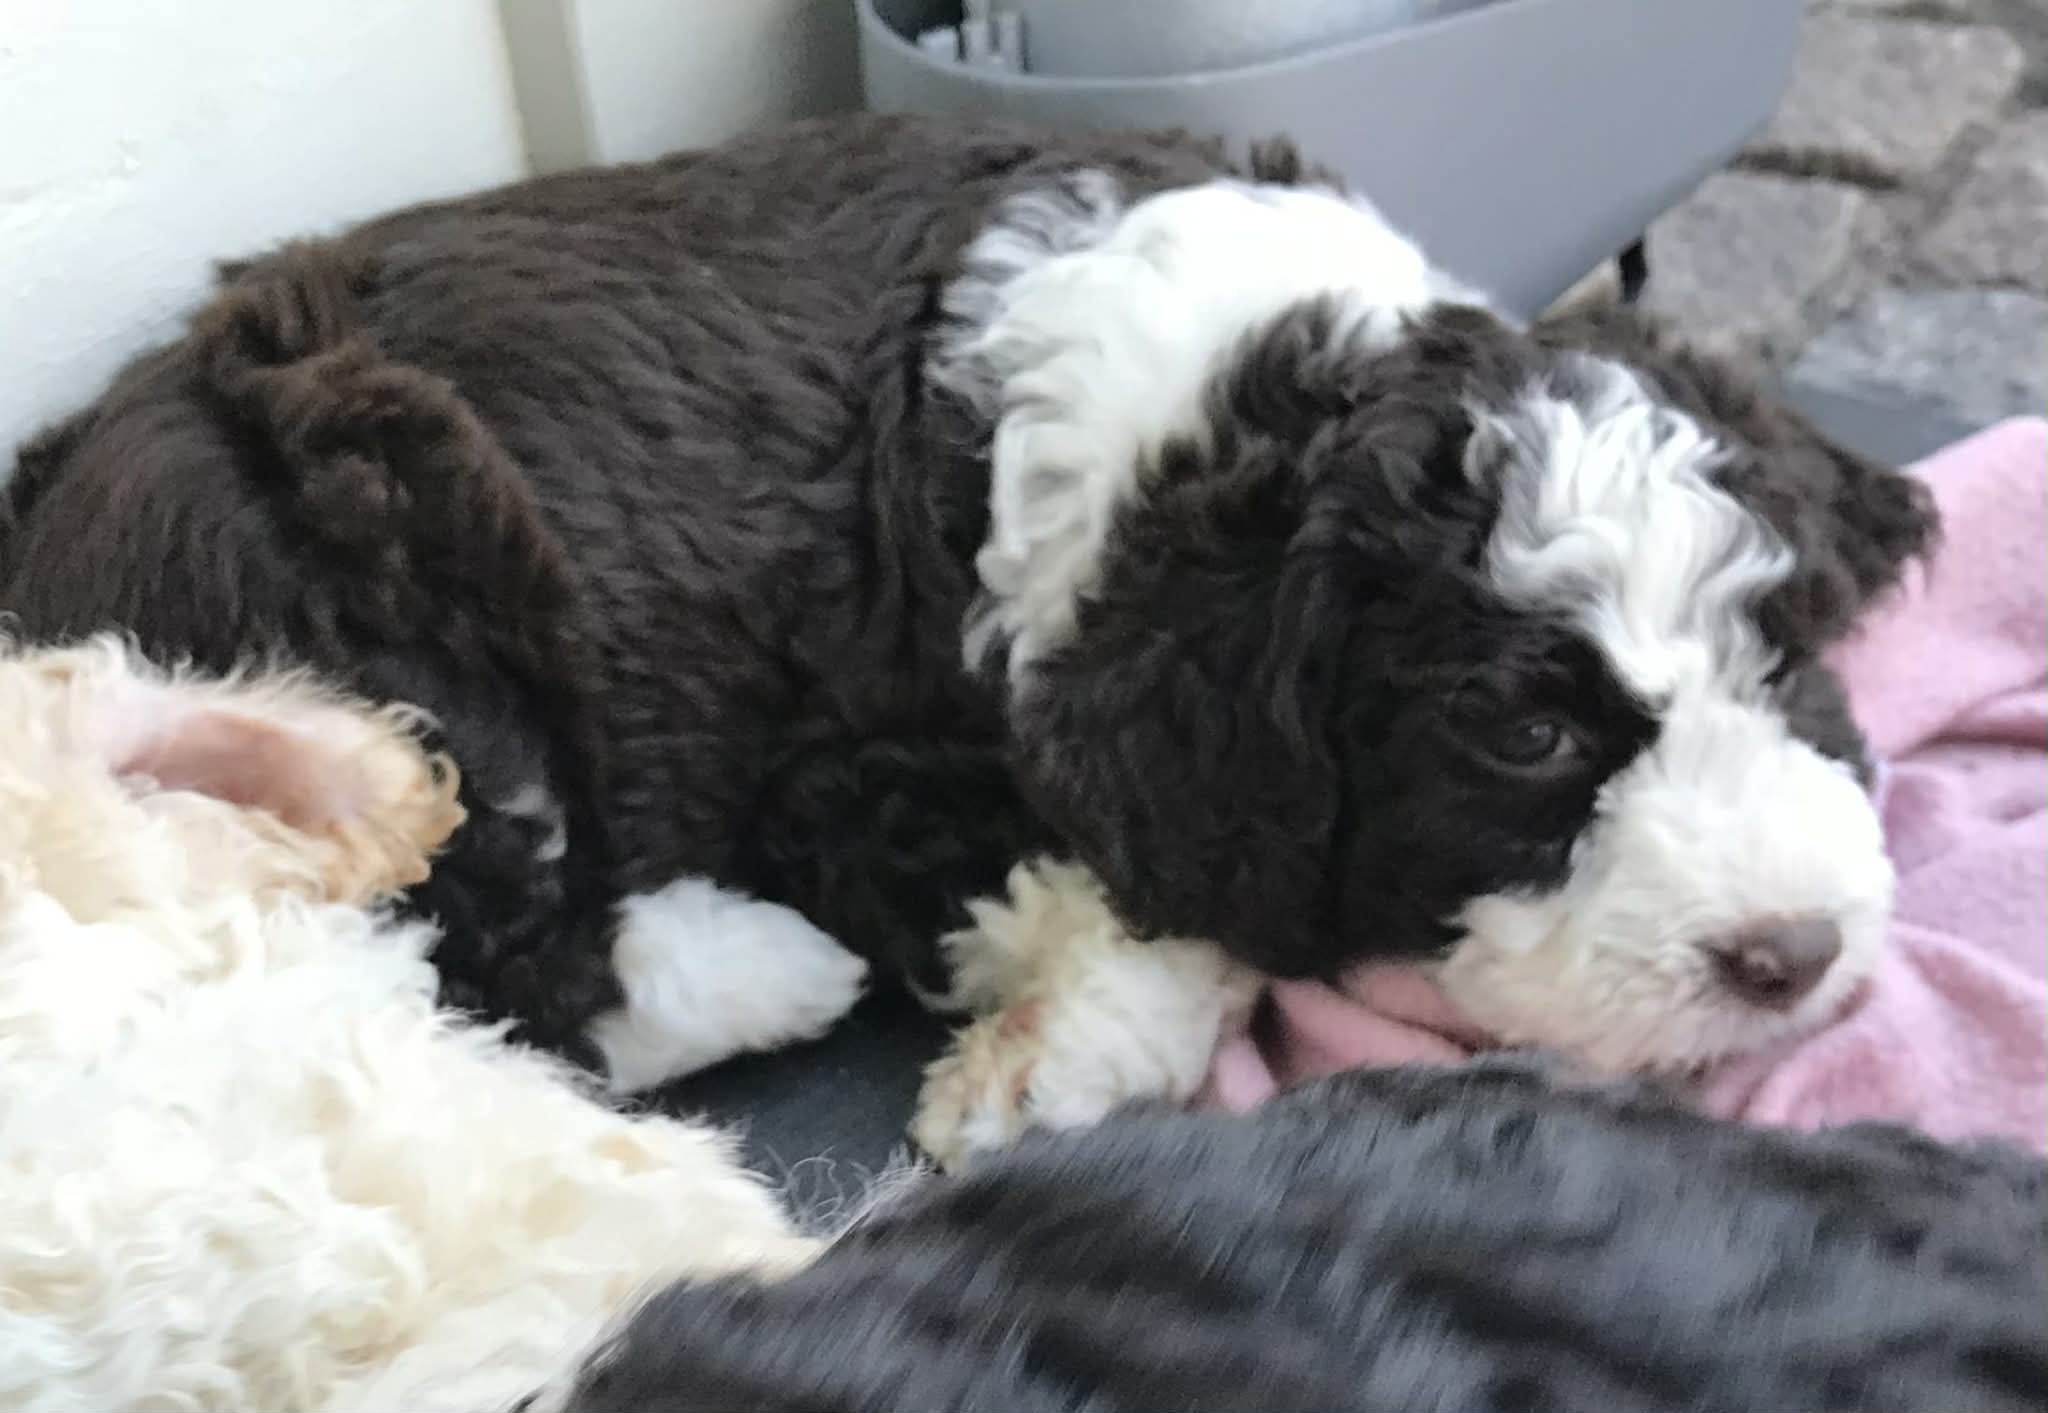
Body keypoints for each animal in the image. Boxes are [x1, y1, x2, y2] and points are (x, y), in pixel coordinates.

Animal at [0, 113, 1936, 1163]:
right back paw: (760, 962)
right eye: (1521, 735)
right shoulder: (865, 755)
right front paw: (1043, 1056)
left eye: (1784, 654)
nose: (1788, 954)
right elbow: (1177, 903)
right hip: (377, 595)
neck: (1231, 413)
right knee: (461, 949)